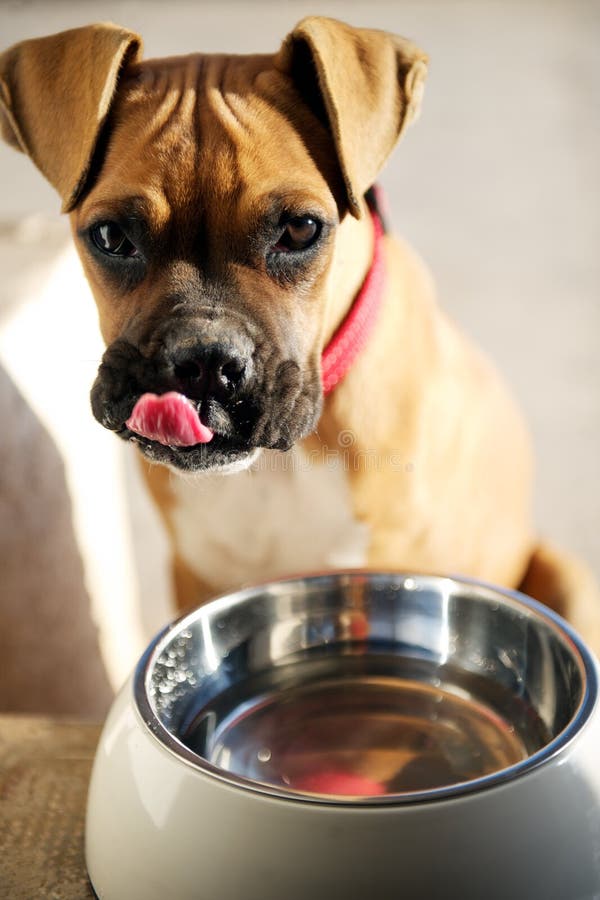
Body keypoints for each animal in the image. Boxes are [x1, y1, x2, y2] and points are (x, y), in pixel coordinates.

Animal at [1, 15, 600, 648]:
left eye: (300, 230)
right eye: (111, 236)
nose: (203, 361)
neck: (277, 469)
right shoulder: (192, 576)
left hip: (569, 577)